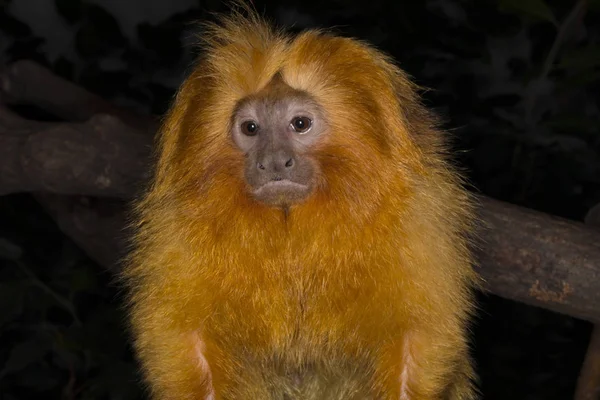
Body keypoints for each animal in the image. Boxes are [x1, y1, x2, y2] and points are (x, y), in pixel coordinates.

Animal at [120, 3, 478, 400]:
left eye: (300, 124)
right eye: (250, 129)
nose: (274, 161)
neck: (291, 221)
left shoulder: (415, 215)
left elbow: (416, 337)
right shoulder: (177, 228)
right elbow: (185, 338)